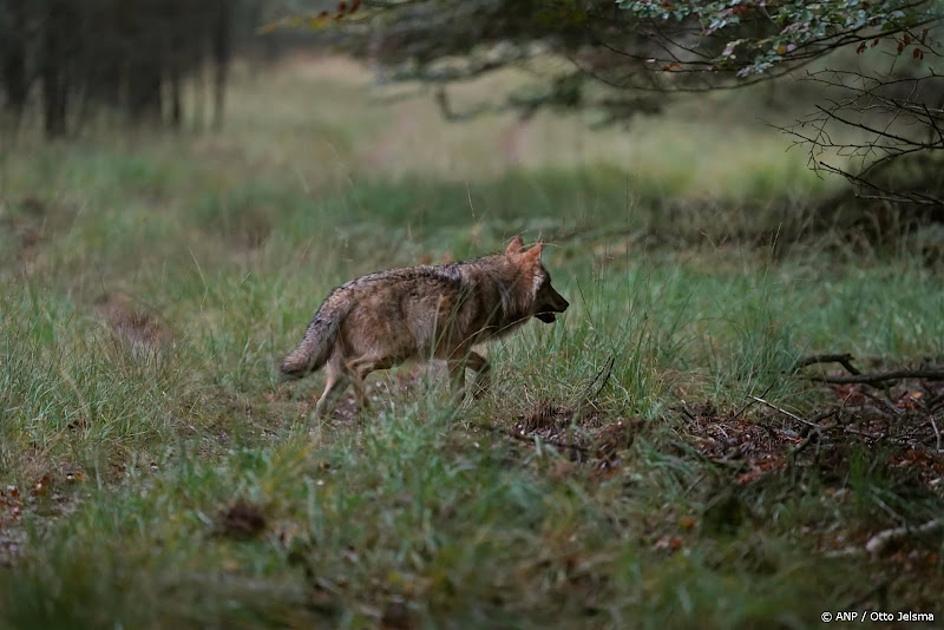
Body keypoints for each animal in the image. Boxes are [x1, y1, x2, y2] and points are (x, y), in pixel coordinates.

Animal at [280, 237, 572, 420]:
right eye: (549, 283)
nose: (567, 303)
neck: (500, 288)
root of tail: (342, 293)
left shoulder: (455, 351)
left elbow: (485, 366)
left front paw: (479, 394)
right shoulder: (455, 352)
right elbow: (460, 389)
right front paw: (454, 412)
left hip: (342, 373)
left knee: (321, 406)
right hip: (390, 356)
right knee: (357, 371)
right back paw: (368, 413)